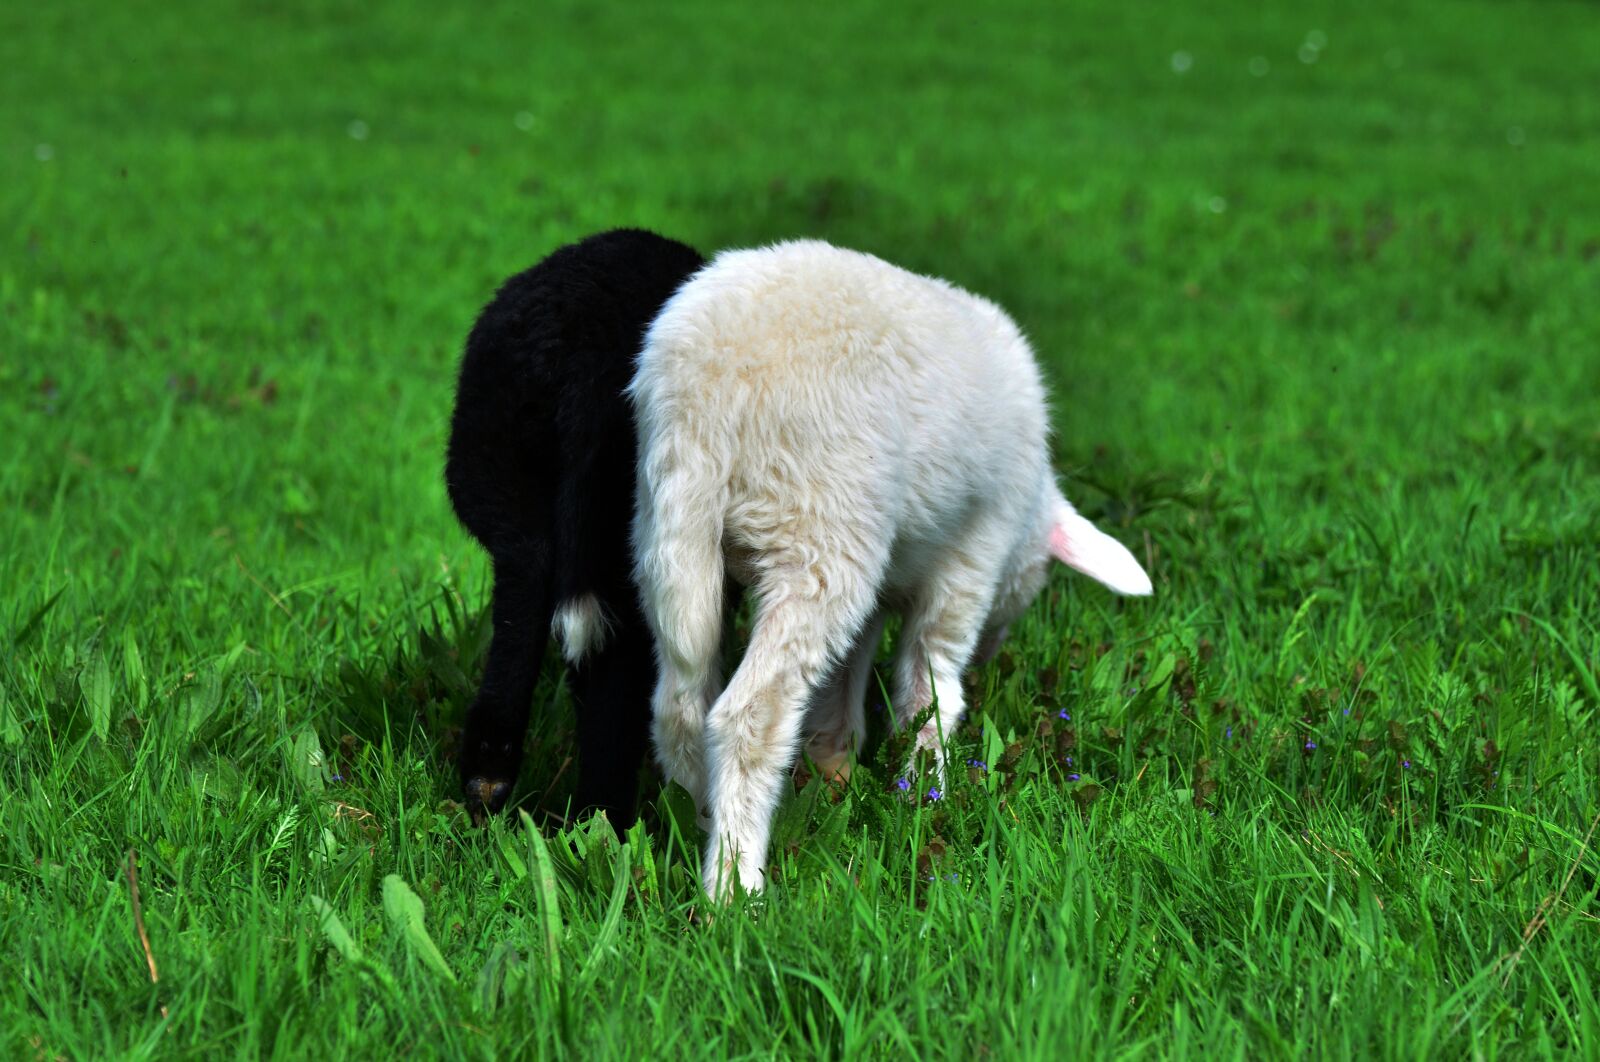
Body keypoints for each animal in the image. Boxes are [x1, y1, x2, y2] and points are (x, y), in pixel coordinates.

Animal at [446, 228, 705, 826]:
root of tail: (580, 344)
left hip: (497, 476)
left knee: (525, 593)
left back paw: (488, 779)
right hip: (627, 528)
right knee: (619, 673)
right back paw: (606, 819)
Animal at [628, 239, 1152, 897]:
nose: (994, 652)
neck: (1031, 507)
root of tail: (701, 388)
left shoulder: (880, 584)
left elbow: (845, 680)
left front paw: (836, 771)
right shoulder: (974, 551)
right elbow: (930, 687)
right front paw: (927, 796)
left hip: (669, 536)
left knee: (679, 703)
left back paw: (694, 818)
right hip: (816, 532)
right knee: (749, 716)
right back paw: (735, 885)